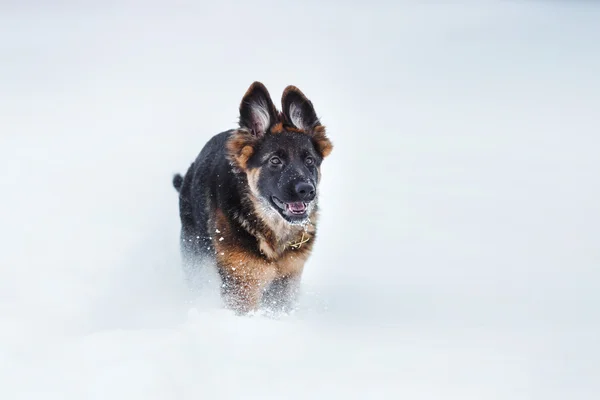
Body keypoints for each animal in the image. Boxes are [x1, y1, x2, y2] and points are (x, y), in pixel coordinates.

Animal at [172, 83, 332, 316]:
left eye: (309, 160)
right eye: (275, 161)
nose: (307, 190)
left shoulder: (286, 282)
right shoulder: (242, 282)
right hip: (196, 257)